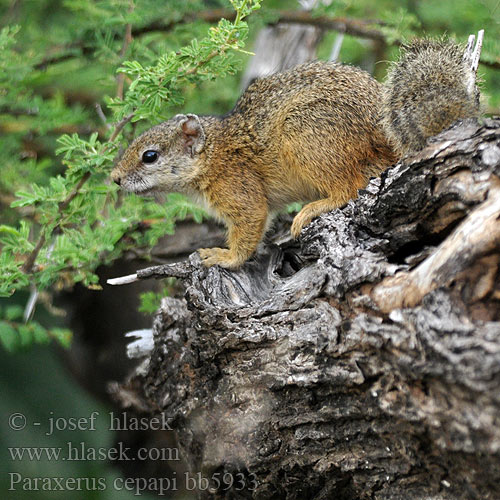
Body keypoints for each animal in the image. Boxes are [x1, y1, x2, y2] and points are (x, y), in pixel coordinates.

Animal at [112, 35, 480, 270]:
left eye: (149, 156)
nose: (114, 178)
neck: (214, 155)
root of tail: (383, 136)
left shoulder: (240, 190)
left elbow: (249, 229)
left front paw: (223, 257)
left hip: (308, 138)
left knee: (348, 188)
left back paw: (311, 210)